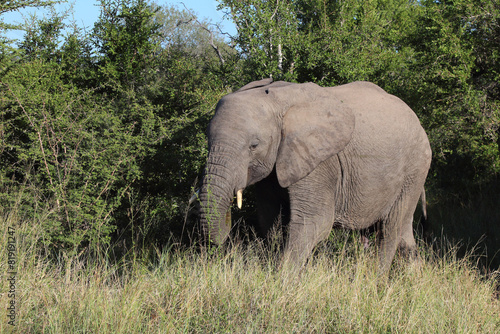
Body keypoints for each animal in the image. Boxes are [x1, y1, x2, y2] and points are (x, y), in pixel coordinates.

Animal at [198, 79, 430, 272]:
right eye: (207, 139)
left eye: (253, 145)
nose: (228, 224)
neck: (277, 100)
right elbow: (270, 221)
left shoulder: (320, 162)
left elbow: (314, 222)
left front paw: (281, 282)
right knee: (404, 233)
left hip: (415, 169)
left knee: (389, 229)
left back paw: (376, 280)